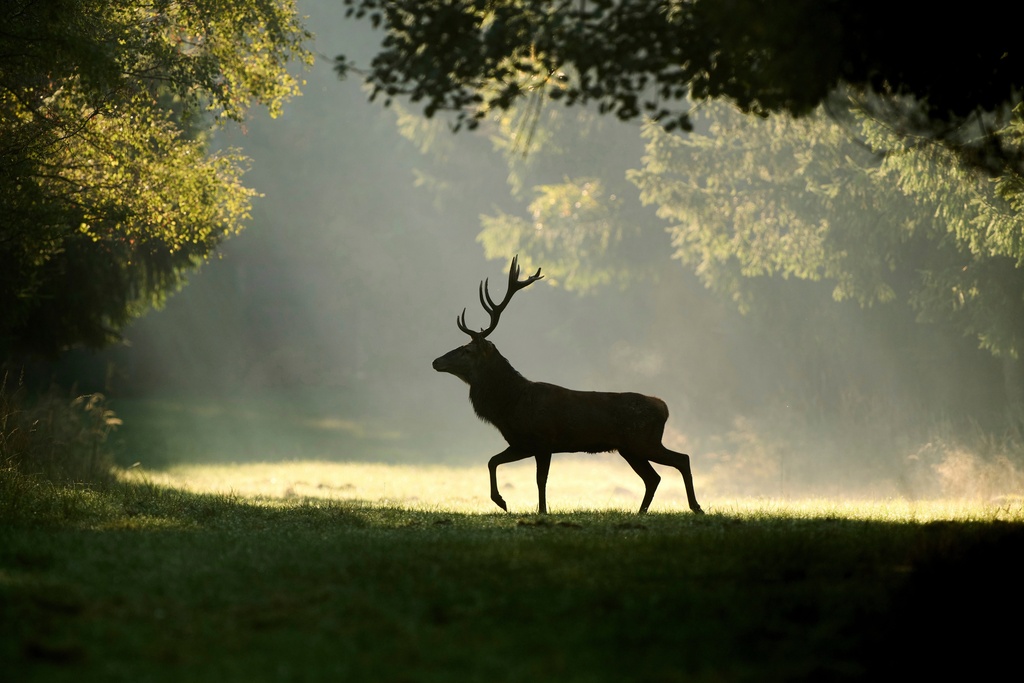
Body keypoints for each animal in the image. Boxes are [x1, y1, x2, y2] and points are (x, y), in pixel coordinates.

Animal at [432, 256, 704, 515]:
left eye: (467, 350)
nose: (436, 361)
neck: (510, 406)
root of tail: (663, 407)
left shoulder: (542, 439)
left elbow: (540, 480)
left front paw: (540, 510)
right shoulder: (521, 443)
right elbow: (492, 461)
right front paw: (501, 501)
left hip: (643, 441)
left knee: (681, 459)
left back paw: (695, 506)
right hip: (630, 448)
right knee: (653, 478)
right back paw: (641, 512)